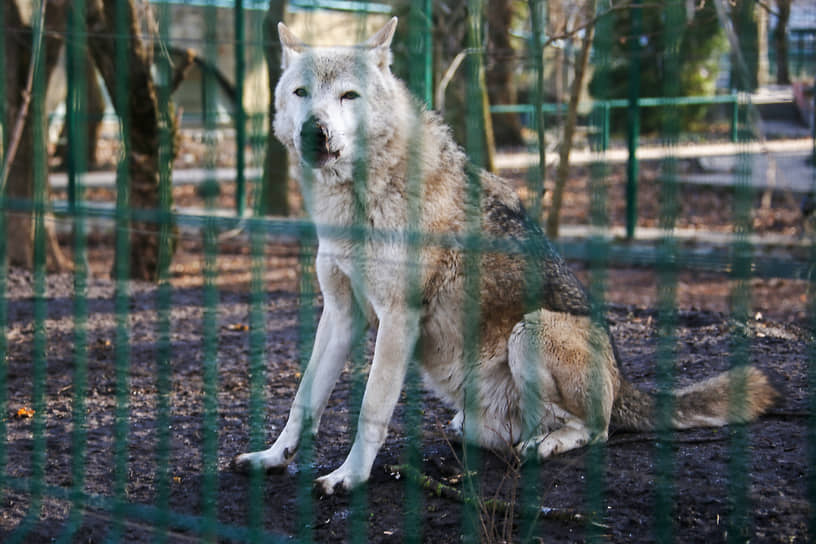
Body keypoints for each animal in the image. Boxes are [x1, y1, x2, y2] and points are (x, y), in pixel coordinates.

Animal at [233, 17, 776, 496]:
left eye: (349, 96)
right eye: (302, 94)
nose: (315, 131)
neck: (358, 200)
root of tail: (625, 385)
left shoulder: (398, 318)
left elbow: (372, 408)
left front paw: (349, 477)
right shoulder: (342, 312)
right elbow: (303, 399)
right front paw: (272, 457)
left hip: (530, 331)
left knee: (596, 430)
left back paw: (544, 445)